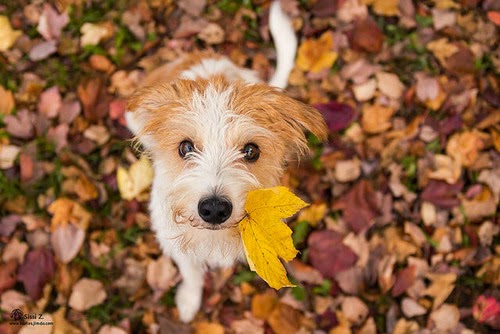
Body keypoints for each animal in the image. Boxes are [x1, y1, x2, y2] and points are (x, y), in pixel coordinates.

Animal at [125, 1, 328, 322]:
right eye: (185, 147)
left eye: (251, 151)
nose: (214, 208)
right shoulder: (174, 242)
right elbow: (190, 272)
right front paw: (189, 300)